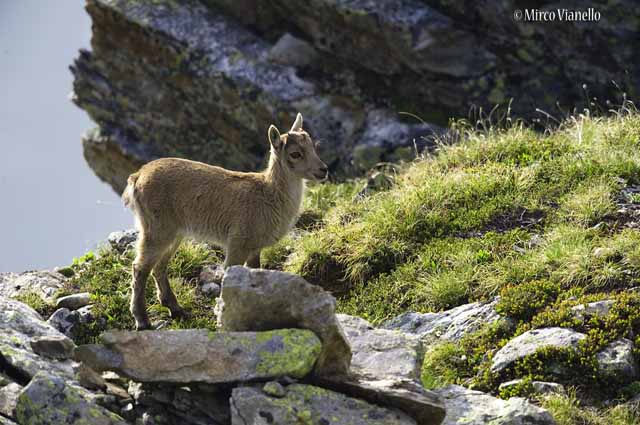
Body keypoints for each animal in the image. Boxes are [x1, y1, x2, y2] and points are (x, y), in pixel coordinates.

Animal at [122, 113, 328, 329]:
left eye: (313, 147)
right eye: (295, 154)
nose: (324, 170)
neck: (269, 195)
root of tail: (137, 176)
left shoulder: (254, 248)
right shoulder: (237, 243)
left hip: (174, 232)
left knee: (159, 266)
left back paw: (175, 309)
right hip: (156, 228)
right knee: (140, 268)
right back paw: (142, 320)